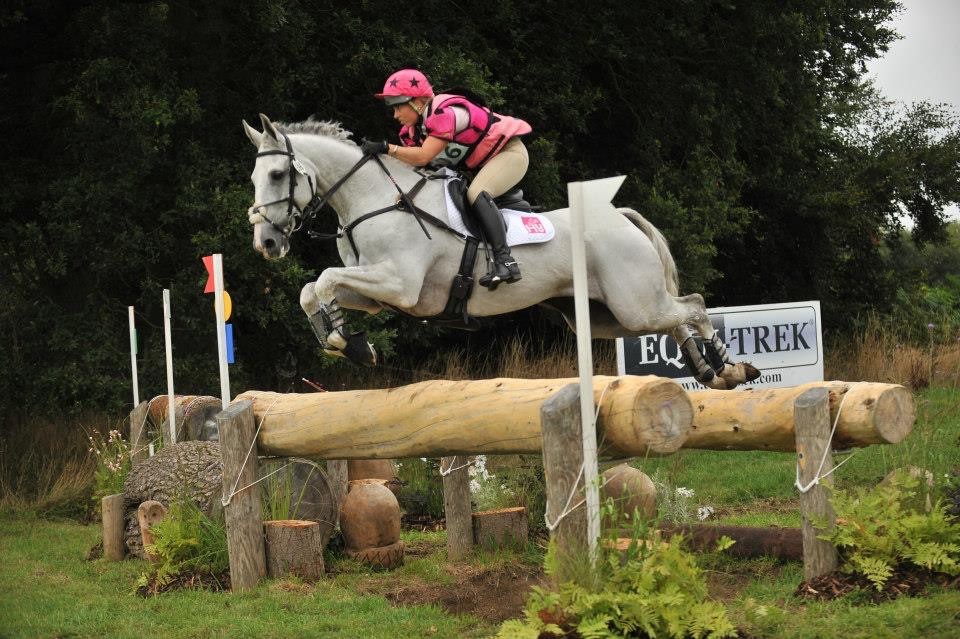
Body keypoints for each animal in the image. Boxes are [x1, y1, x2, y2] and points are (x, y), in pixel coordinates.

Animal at [242, 114, 760, 390]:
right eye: (254, 177)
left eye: (276, 175)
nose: (266, 243)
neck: (377, 199)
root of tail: (619, 217)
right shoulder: (377, 291)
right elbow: (314, 289)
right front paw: (347, 342)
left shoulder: (400, 284)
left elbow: (325, 279)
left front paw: (345, 342)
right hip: (607, 315)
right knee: (676, 318)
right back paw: (709, 371)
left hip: (633, 303)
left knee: (692, 306)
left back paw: (729, 367)